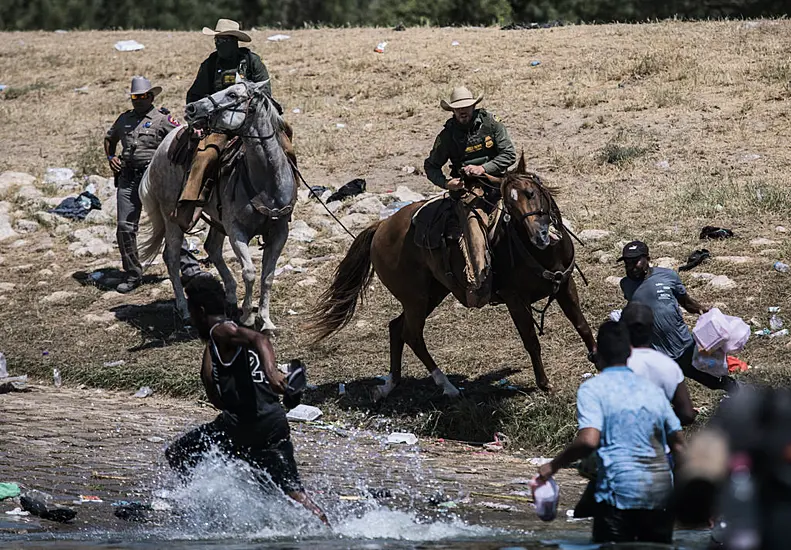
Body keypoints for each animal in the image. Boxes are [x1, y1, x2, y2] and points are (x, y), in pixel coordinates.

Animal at [138, 81, 296, 332]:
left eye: (232, 94)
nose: (192, 109)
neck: (266, 181)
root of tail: (159, 152)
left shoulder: (280, 231)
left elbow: (268, 276)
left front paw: (266, 320)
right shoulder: (236, 230)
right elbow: (250, 272)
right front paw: (248, 317)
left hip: (216, 219)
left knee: (211, 247)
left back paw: (230, 297)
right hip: (172, 218)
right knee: (171, 257)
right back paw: (184, 311)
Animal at [310, 155, 592, 402]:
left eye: (531, 193)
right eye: (509, 205)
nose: (540, 235)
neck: (541, 253)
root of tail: (380, 227)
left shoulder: (565, 285)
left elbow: (582, 325)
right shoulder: (515, 300)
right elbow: (531, 341)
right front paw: (544, 384)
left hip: (432, 293)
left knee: (396, 327)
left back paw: (389, 385)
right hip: (415, 298)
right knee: (412, 334)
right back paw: (447, 386)